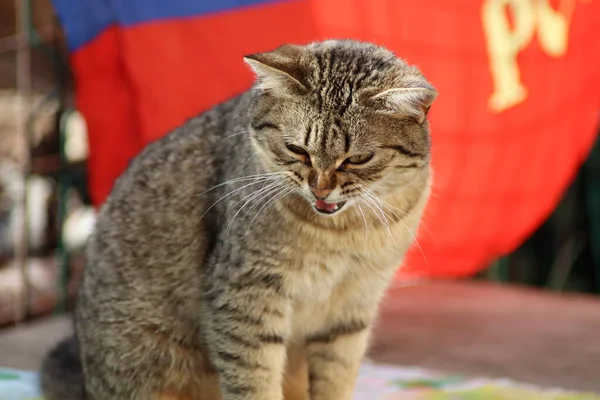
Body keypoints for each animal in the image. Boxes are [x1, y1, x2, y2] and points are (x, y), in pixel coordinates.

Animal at [41, 38, 436, 400]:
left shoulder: (353, 306)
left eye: (357, 159)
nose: (320, 189)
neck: (343, 232)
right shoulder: (246, 294)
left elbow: (335, 380)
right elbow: (254, 380)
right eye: (297, 150)